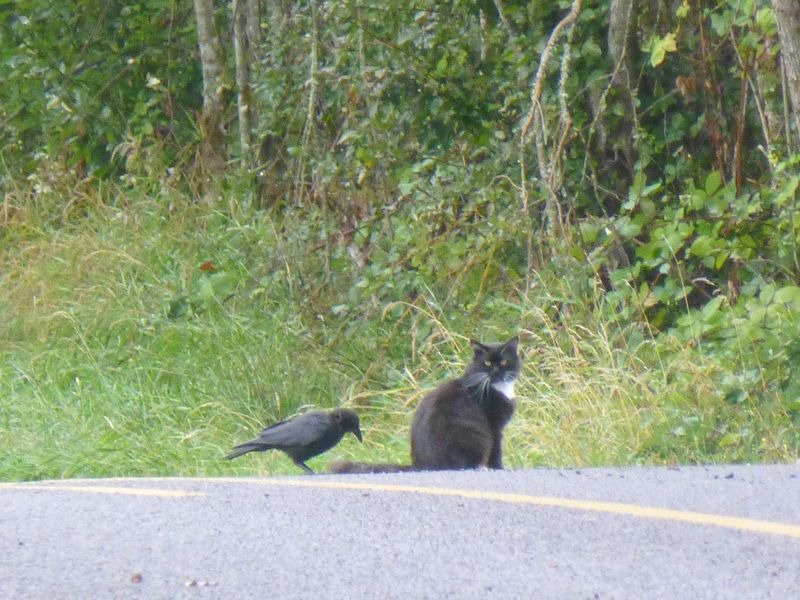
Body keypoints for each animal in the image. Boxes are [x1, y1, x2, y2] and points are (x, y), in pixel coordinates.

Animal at [330, 338, 520, 474]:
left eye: (504, 362)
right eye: (487, 363)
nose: (496, 372)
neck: (497, 388)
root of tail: (422, 465)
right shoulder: (494, 427)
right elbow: (496, 451)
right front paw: (499, 468)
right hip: (474, 435)